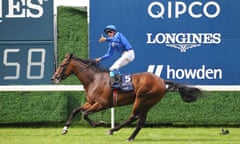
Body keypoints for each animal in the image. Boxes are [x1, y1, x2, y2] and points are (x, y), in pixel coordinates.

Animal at [51, 53, 202, 141]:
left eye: (62, 65)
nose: (54, 78)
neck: (94, 79)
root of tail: (161, 81)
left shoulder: (102, 104)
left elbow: (85, 114)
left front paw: (100, 123)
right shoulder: (91, 102)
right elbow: (76, 110)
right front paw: (65, 128)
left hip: (142, 99)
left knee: (133, 116)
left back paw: (112, 130)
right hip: (148, 103)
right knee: (140, 122)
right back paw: (130, 137)